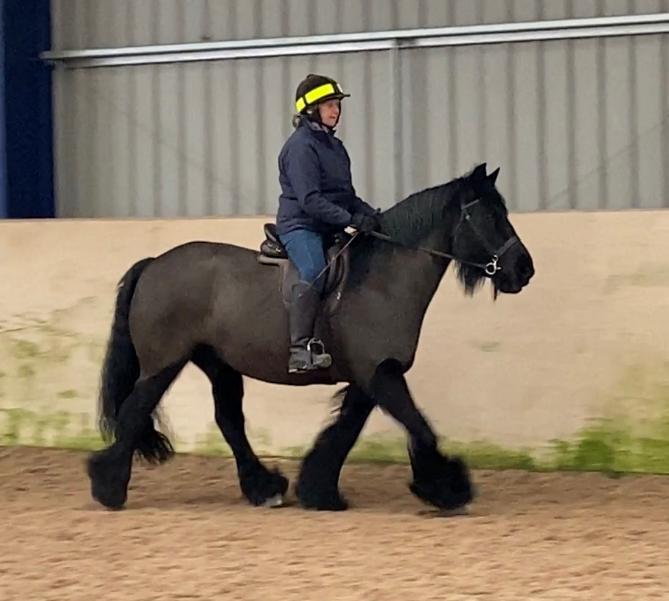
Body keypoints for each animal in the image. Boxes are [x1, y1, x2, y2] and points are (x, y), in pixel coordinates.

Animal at [88, 163, 536, 510]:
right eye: (489, 216)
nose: (524, 269)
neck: (382, 280)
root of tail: (153, 264)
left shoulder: (370, 377)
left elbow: (345, 431)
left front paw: (320, 490)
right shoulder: (382, 374)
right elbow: (418, 425)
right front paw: (448, 488)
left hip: (217, 363)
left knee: (229, 420)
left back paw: (264, 488)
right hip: (163, 362)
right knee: (134, 413)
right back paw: (109, 487)